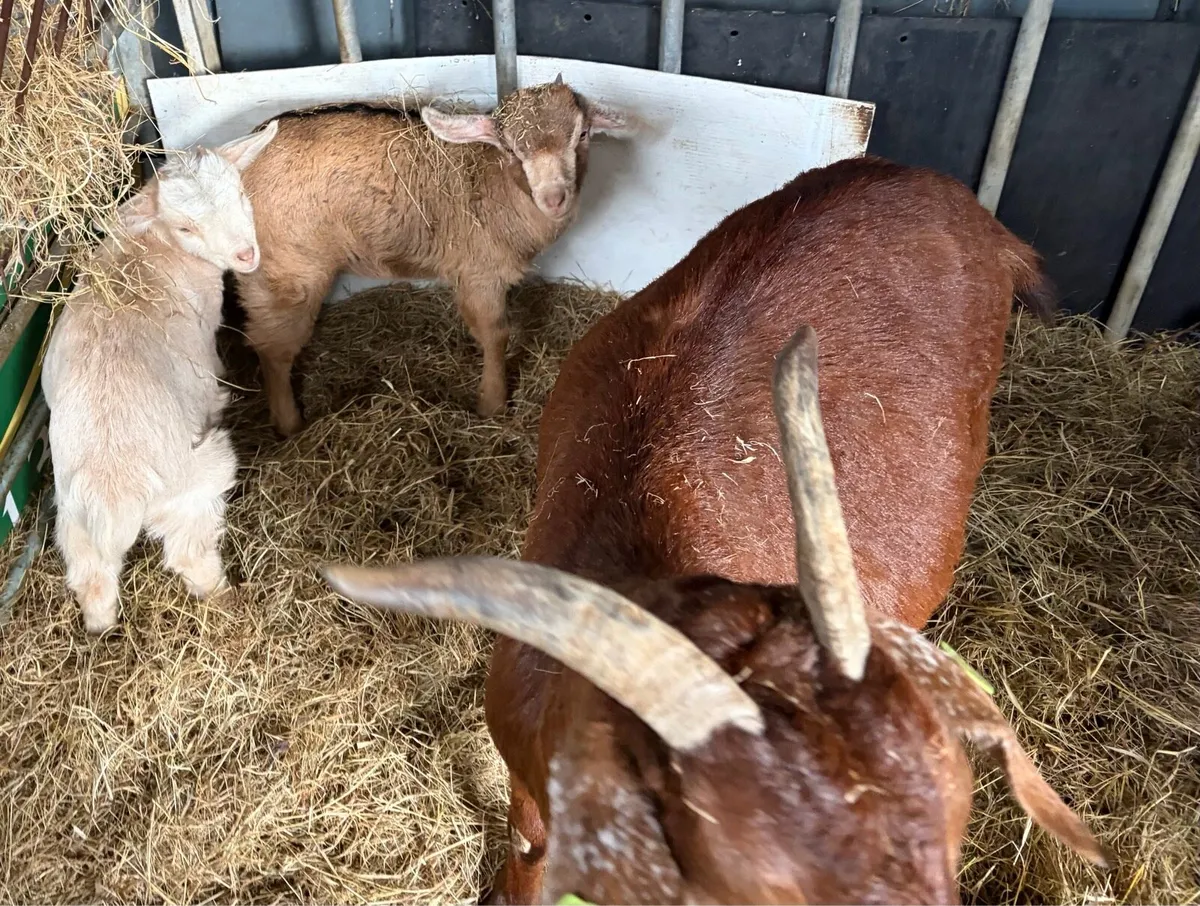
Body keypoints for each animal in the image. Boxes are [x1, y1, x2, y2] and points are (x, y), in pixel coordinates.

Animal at [42, 121, 279, 634]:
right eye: (187, 227)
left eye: (241, 192)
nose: (245, 254)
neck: (153, 246)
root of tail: (113, 493)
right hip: (195, 484)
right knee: (191, 555)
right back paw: (225, 601)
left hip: (70, 515)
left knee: (92, 577)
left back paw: (102, 628)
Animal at [234, 76, 634, 437]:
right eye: (510, 150)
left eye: (582, 134)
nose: (554, 198)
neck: (494, 184)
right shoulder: (479, 272)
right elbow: (495, 334)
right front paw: (493, 404)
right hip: (287, 271)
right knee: (273, 347)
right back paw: (289, 424)